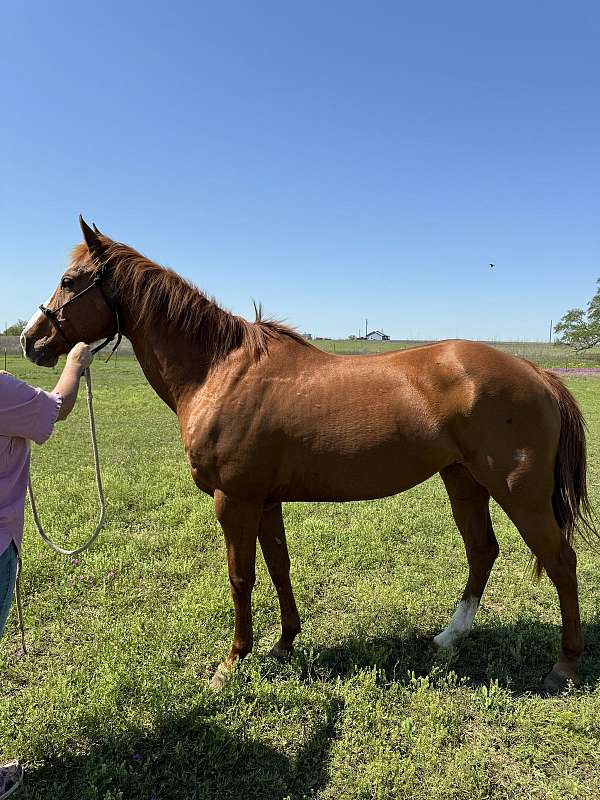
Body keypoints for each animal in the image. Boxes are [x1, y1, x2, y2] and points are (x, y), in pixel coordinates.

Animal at [22, 217, 596, 688]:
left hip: (519, 493)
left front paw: (233, 661)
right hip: (463, 481)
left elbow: (242, 577)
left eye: (70, 281)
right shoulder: (265, 499)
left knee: (560, 560)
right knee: (482, 552)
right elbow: (279, 566)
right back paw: (448, 639)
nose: (31, 341)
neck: (219, 370)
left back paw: (565, 665)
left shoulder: (234, 500)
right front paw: (283, 644)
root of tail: (537, 374)